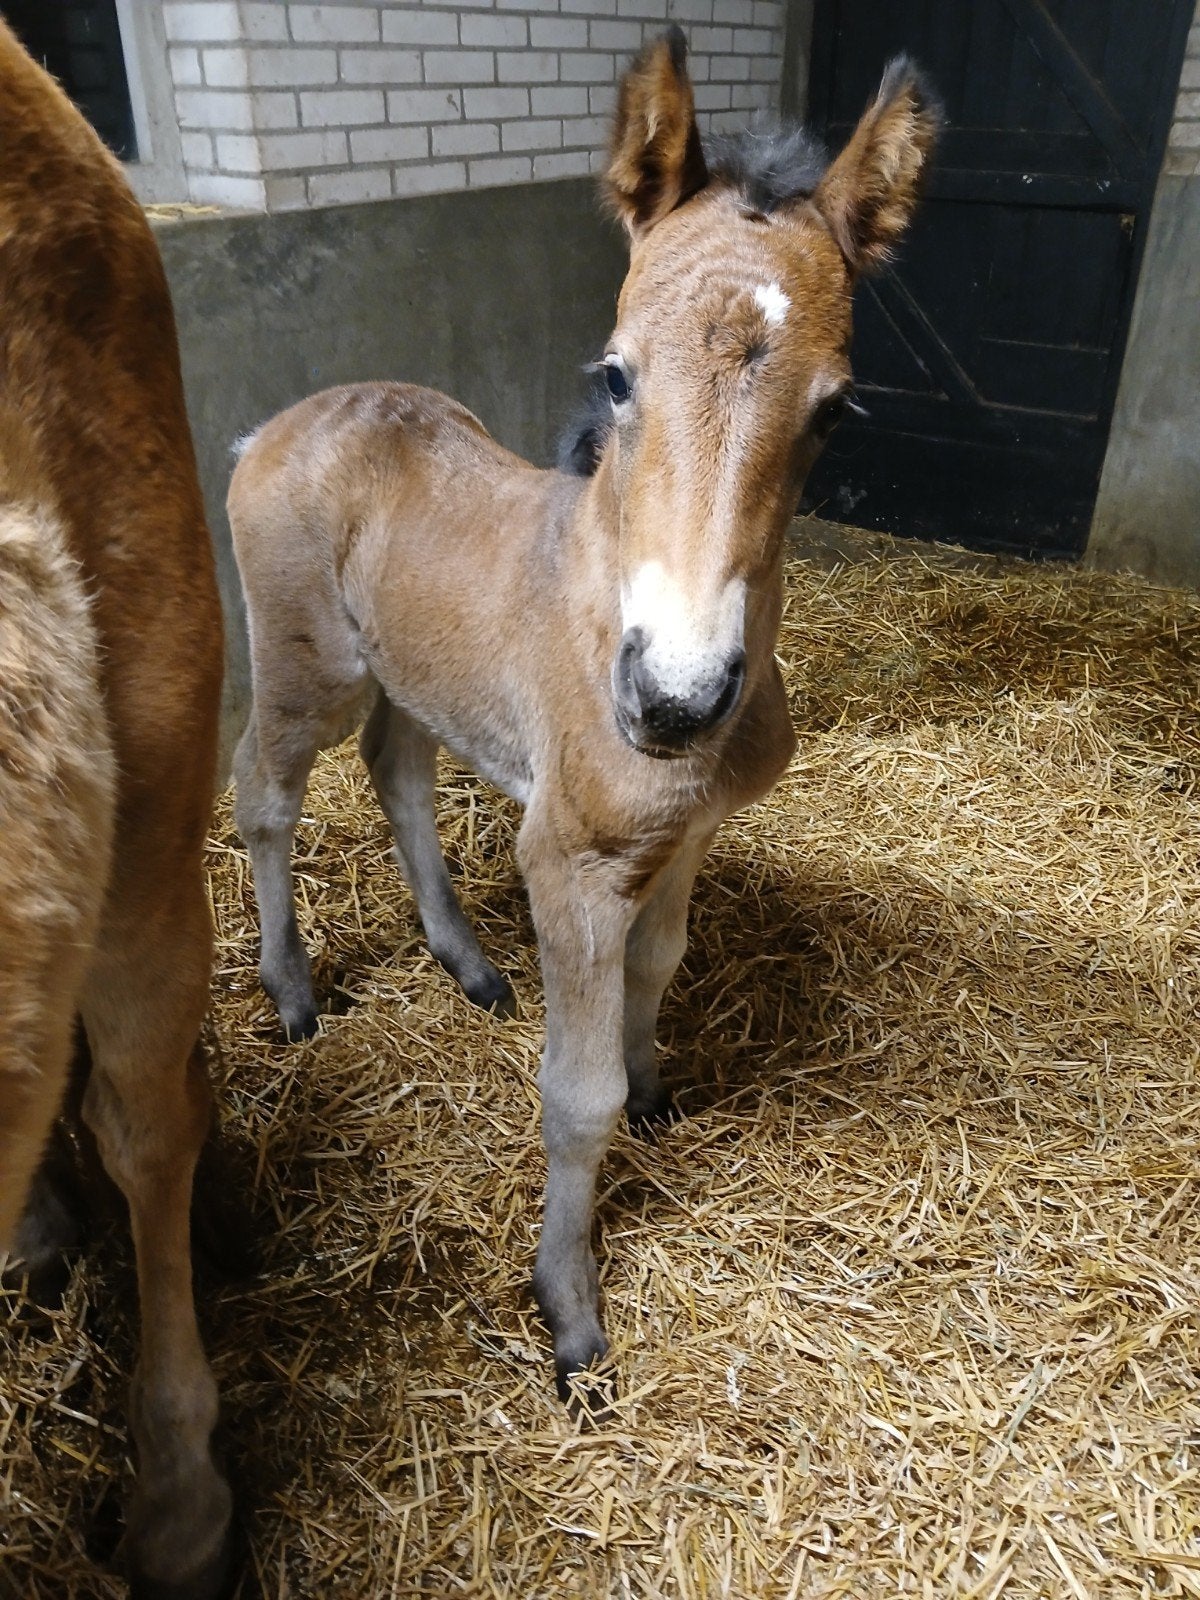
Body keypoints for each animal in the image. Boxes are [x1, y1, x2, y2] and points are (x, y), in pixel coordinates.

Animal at [229, 27, 939, 1401]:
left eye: (835, 409)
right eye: (614, 374)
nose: (672, 699)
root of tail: (275, 422)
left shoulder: (690, 835)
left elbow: (662, 970)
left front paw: (662, 1085)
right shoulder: (573, 860)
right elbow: (577, 1093)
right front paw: (567, 1306)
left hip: (412, 670)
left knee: (397, 770)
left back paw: (464, 961)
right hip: (309, 662)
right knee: (267, 789)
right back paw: (290, 991)